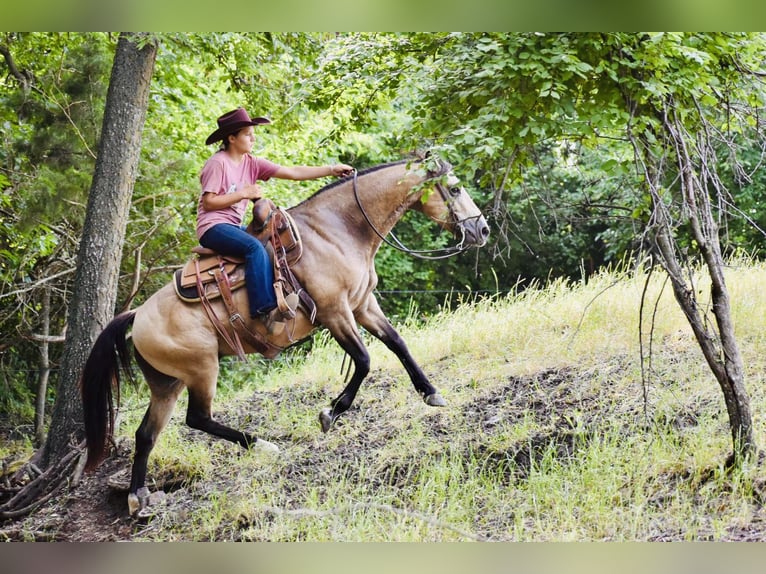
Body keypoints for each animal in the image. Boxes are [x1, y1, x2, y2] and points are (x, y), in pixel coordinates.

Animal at [80, 157, 490, 515]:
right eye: (454, 188)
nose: (482, 230)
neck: (338, 231)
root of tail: (137, 315)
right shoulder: (336, 313)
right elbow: (364, 361)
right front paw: (330, 413)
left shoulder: (363, 306)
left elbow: (397, 343)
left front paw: (431, 392)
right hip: (201, 370)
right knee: (197, 418)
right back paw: (262, 445)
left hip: (168, 383)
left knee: (146, 434)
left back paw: (138, 497)